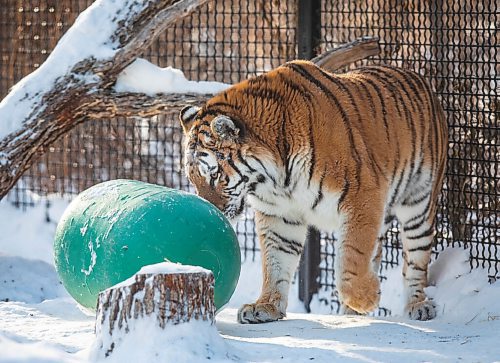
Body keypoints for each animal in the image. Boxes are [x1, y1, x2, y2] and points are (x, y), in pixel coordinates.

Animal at [179, 59, 450, 324]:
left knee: (415, 261)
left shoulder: (362, 195)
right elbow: (276, 261)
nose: (212, 211)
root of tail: (418, 77)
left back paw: (417, 305)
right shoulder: (279, 214)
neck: (275, 179)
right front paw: (265, 306)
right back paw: (351, 312)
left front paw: (366, 298)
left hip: (418, 205)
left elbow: (351, 256)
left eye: (214, 175)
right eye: (193, 179)